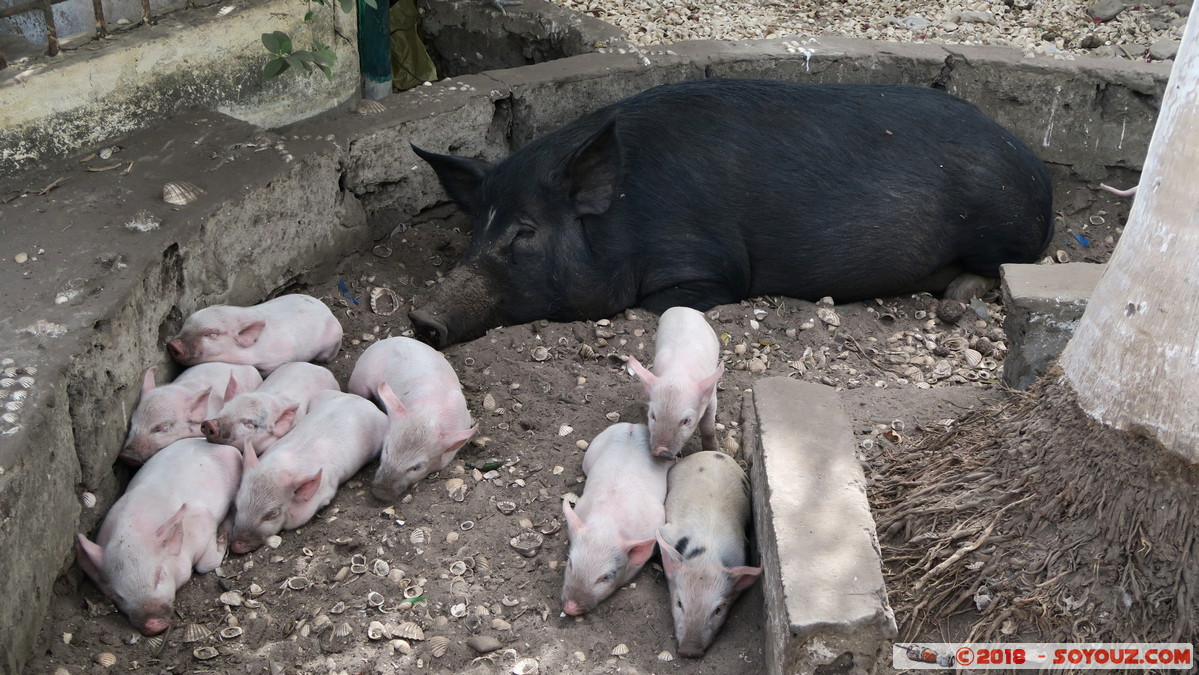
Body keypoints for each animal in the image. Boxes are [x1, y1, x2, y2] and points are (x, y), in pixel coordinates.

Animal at [410, 77, 1050, 347]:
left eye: (525, 231)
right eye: (476, 230)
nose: (421, 318)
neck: (623, 219)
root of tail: (1036, 168)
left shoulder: (708, 268)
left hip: (1000, 225)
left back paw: (954, 301)